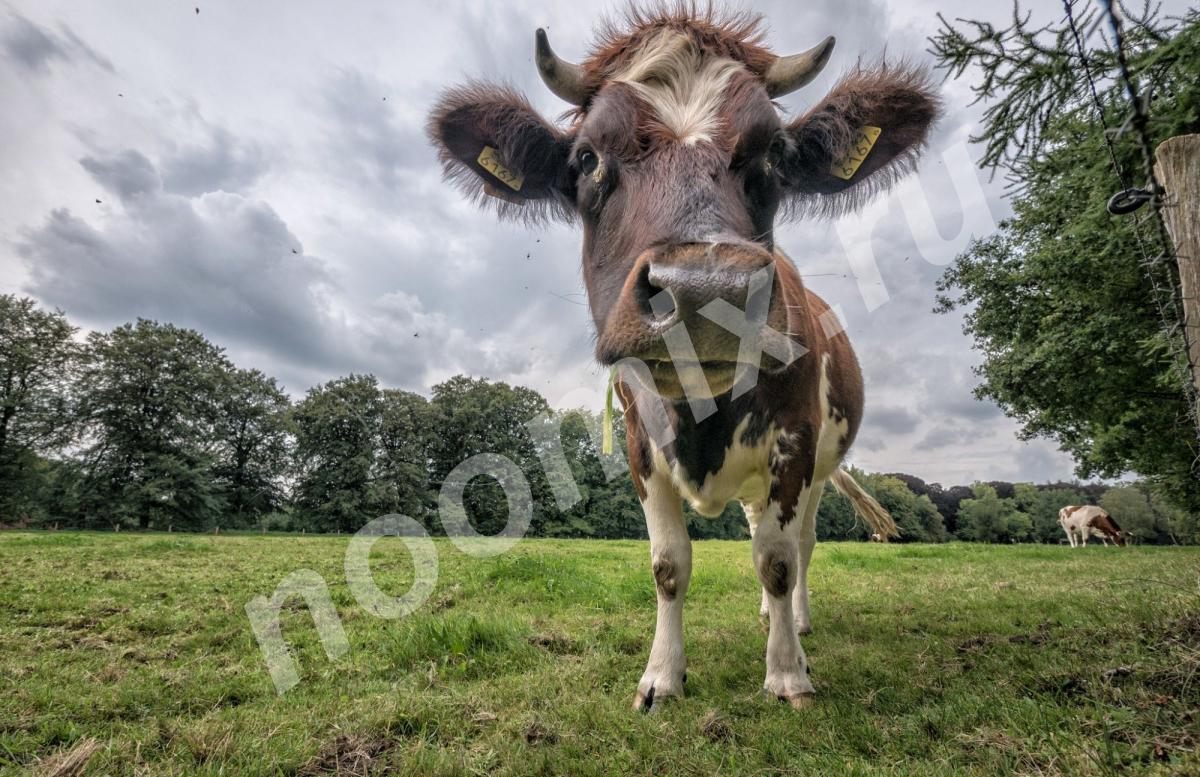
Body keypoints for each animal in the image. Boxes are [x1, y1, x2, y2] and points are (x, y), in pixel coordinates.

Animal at [427, 4, 940, 709]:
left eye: (775, 155)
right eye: (587, 157)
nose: (705, 290)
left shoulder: (795, 442)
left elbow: (780, 559)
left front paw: (787, 673)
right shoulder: (641, 446)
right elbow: (670, 565)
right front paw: (662, 675)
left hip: (822, 464)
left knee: (801, 543)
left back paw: (798, 622)